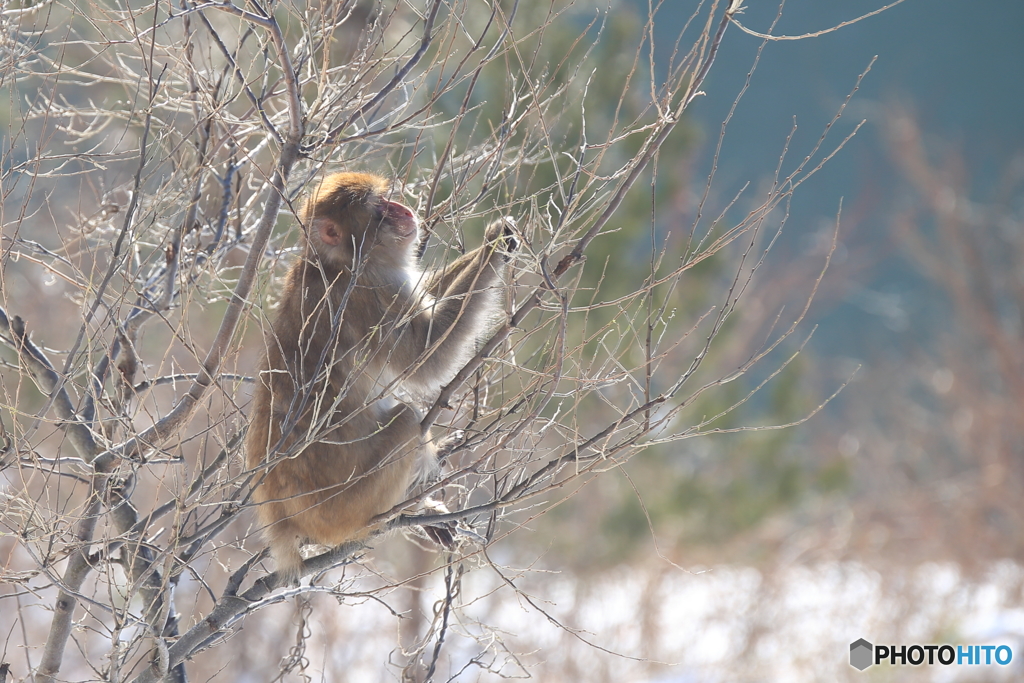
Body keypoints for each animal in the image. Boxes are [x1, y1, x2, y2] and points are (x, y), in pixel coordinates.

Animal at [244, 171, 516, 577]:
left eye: (387, 199)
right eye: (378, 209)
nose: (402, 210)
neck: (336, 262)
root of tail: (283, 519)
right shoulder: (371, 294)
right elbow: (426, 357)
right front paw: (494, 245)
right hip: (345, 509)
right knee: (405, 419)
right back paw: (396, 510)